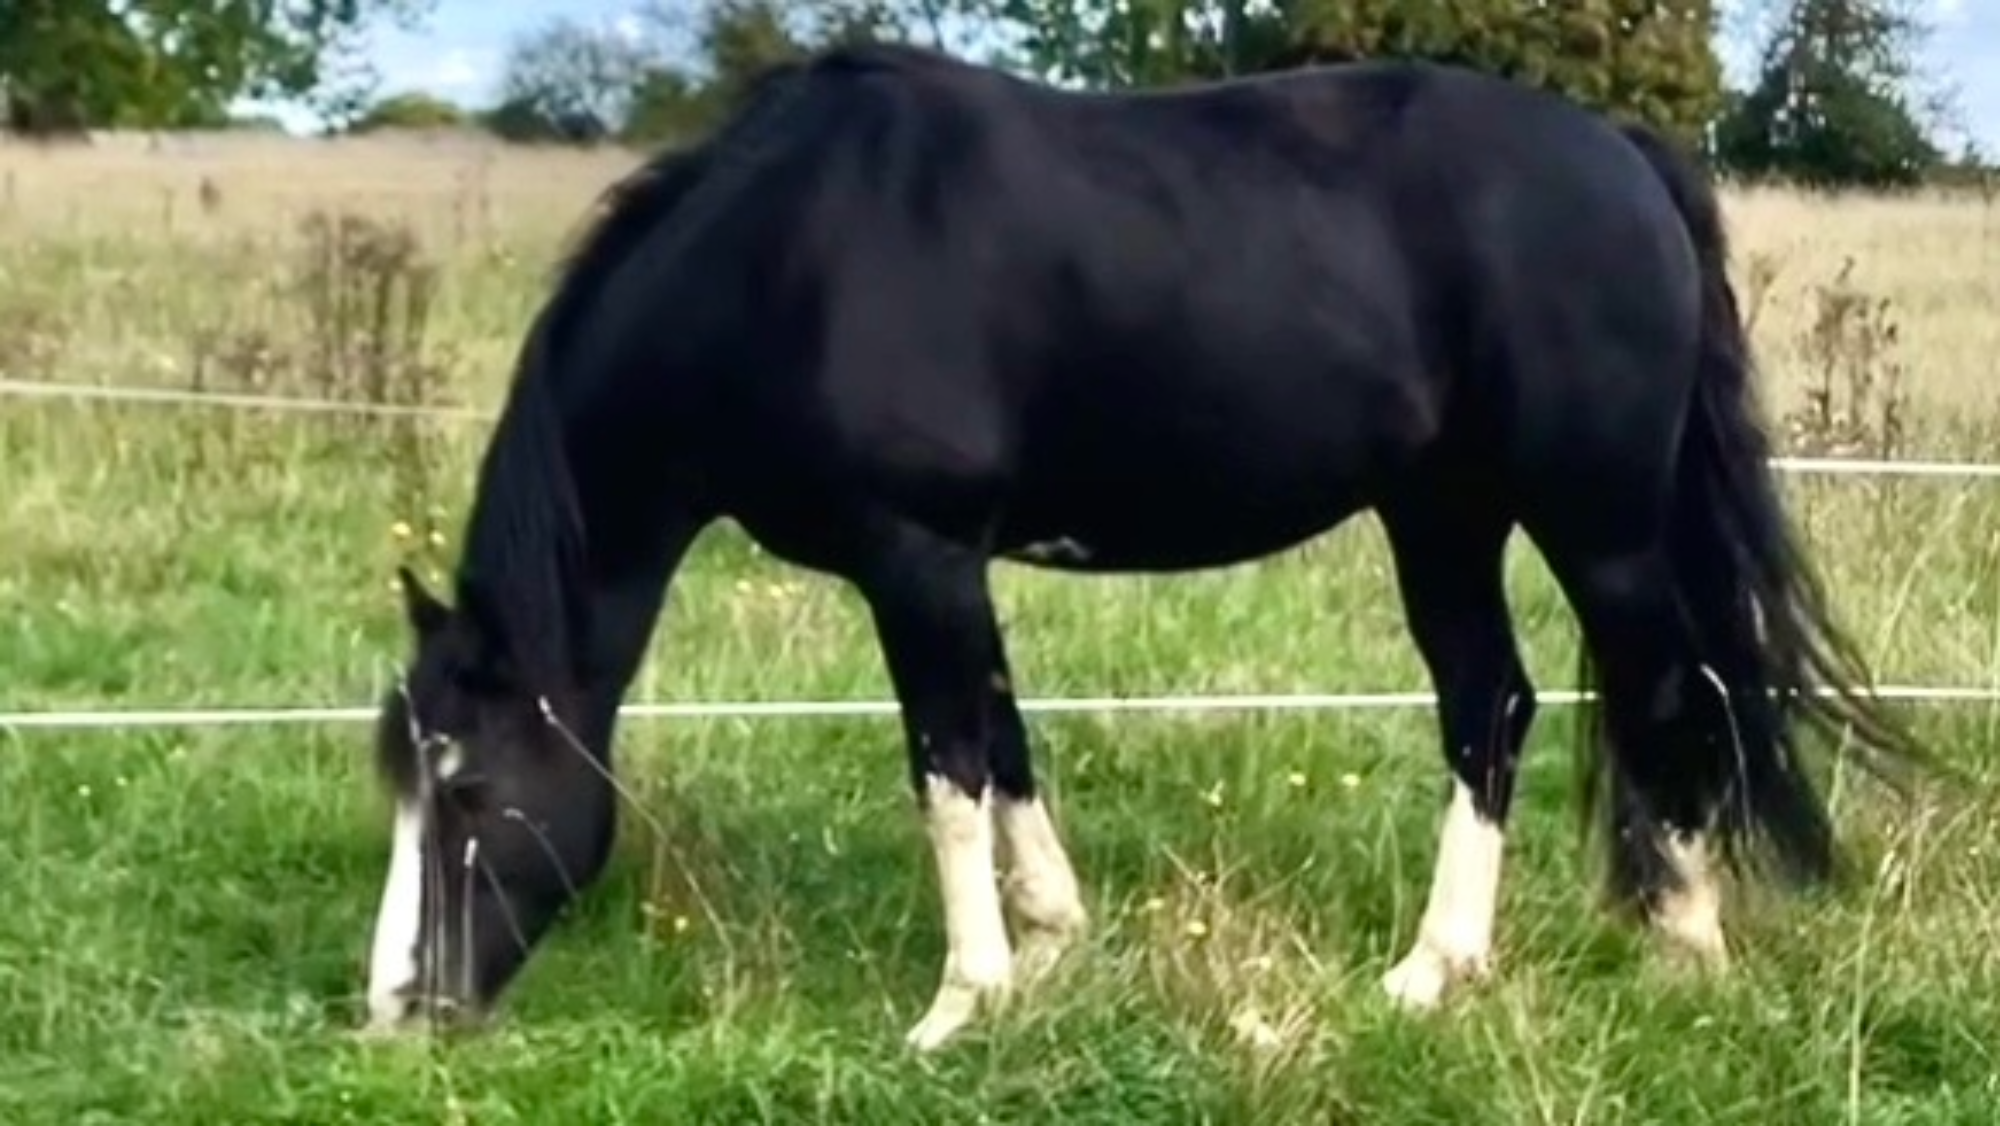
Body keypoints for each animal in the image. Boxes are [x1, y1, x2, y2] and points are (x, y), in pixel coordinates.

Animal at [361, 42, 1928, 1050]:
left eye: (469, 785)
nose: (396, 1009)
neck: (789, 265)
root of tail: (1622, 154)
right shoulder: (953, 569)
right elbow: (1001, 743)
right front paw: (1053, 944)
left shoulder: (914, 558)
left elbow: (945, 767)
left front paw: (960, 1004)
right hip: (1442, 514)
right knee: (1491, 704)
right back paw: (1433, 972)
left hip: (1595, 525)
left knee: (1664, 691)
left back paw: (1684, 947)